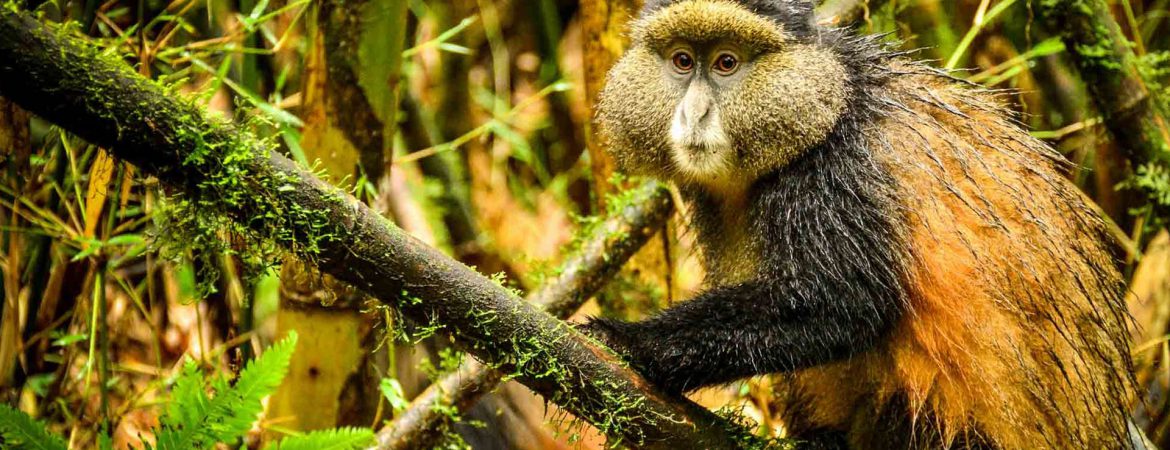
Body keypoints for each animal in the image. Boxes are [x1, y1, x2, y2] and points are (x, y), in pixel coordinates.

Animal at [582, 0, 1139, 448]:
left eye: (726, 63)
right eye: (682, 61)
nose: (694, 114)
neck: (829, 98)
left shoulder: (834, 173)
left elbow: (844, 304)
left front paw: (630, 341)